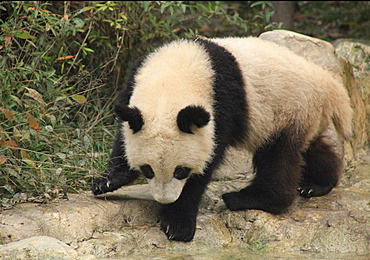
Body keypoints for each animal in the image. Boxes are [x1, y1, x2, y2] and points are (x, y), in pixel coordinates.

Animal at [92, 36, 352, 242]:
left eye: (181, 171)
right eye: (148, 170)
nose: (165, 199)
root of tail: (329, 84)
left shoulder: (223, 102)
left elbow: (208, 161)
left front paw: (177, 222)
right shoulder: (134, 82)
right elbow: (124, 134)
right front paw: (108, 181)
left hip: (289, 109)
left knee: (278, 157)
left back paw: (250, 198)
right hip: (305, 114)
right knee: (311, 147)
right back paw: (317, 184)